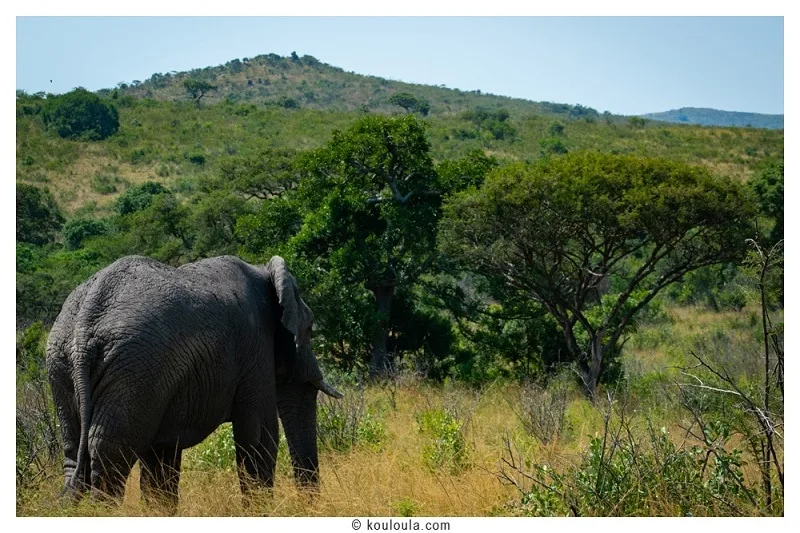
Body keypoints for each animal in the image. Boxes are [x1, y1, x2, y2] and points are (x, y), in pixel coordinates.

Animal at [45, 254, 342, 512]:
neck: (263, 270)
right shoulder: (255, 346)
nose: (309, 507)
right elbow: (259, 435)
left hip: (67, 366)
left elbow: (162, 456)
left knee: (75, 452)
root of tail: (84, 322)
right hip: (133, 368)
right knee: (109, 452)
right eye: (310, 328)